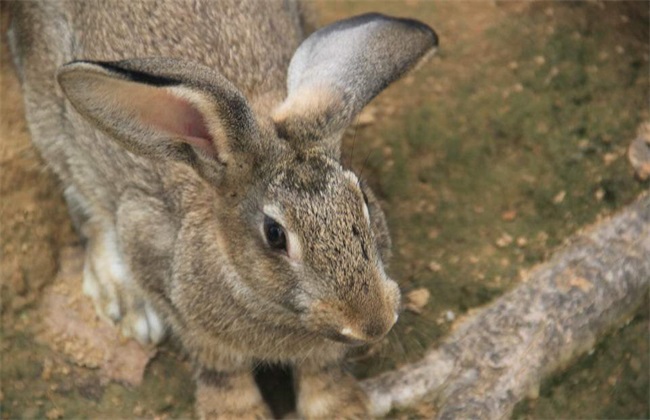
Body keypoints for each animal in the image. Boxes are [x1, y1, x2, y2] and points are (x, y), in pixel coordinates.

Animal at [8, 0, 436, 416]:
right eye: (275, 235)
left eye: (362, 200)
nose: (374, 324)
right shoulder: (169, 284)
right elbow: (221, 370)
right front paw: (235, 412)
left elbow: (322, 370)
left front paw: (342, 408)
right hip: (56, 126)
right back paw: (126, 302)